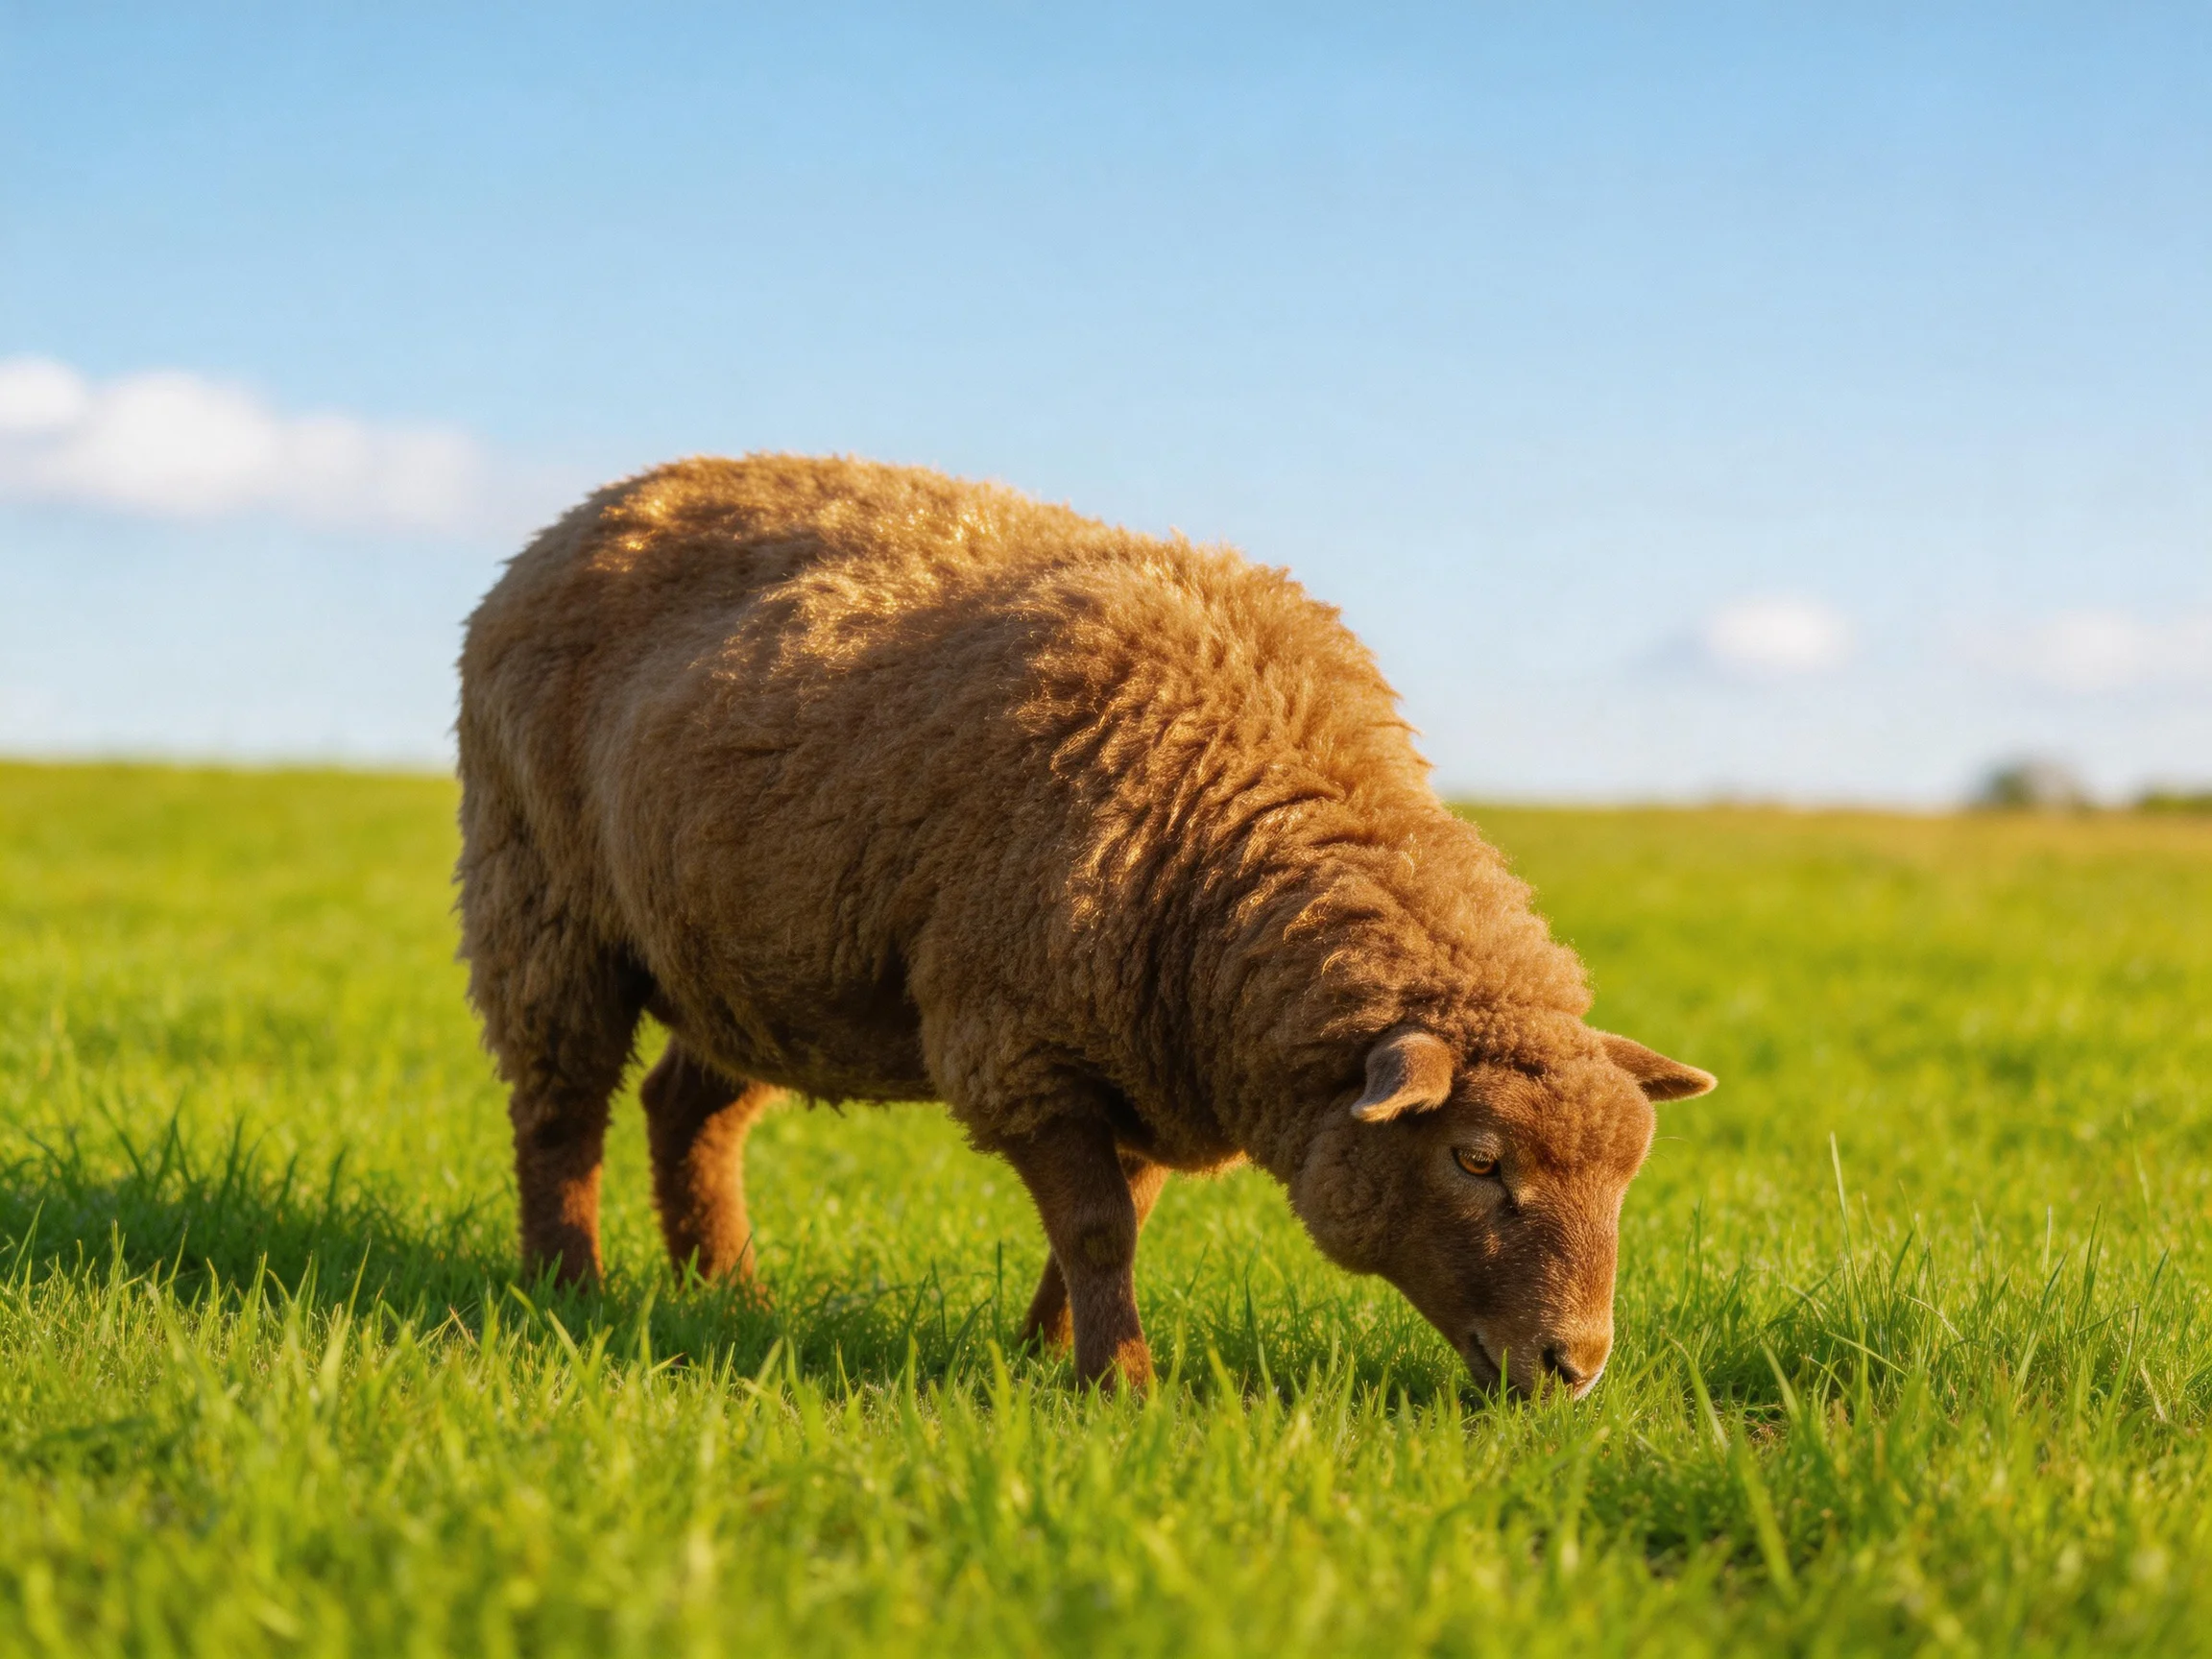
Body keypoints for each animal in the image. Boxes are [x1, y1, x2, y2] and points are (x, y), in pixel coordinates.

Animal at [456, 454, 1714, 1395]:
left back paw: (729, 1292)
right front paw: (1121, 1386)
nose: (1574, 1367)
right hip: (540, 896)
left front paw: (1049, 1354)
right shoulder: (1023, 1048)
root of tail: (592, 510)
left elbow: (1118, 1224)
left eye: (1629, 1177)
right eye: (1477, 1159)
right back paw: (569, 1289)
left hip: (761, 962)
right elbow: (1100, 1227)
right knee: (560, 1109)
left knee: (687, 1112)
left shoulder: (1153, 1058)